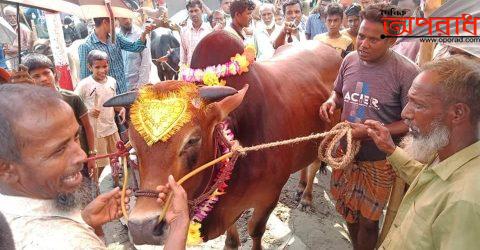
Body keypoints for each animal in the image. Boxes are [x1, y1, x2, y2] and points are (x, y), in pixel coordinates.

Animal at [109, 31, 342, 248]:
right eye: (133, 145)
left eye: (192, 140)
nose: (143, 228)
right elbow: (231, 240)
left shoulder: (269, 197)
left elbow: (256, 230)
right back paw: (301, 186)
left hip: (327, 137)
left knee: (314, 164)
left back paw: (306, 197)